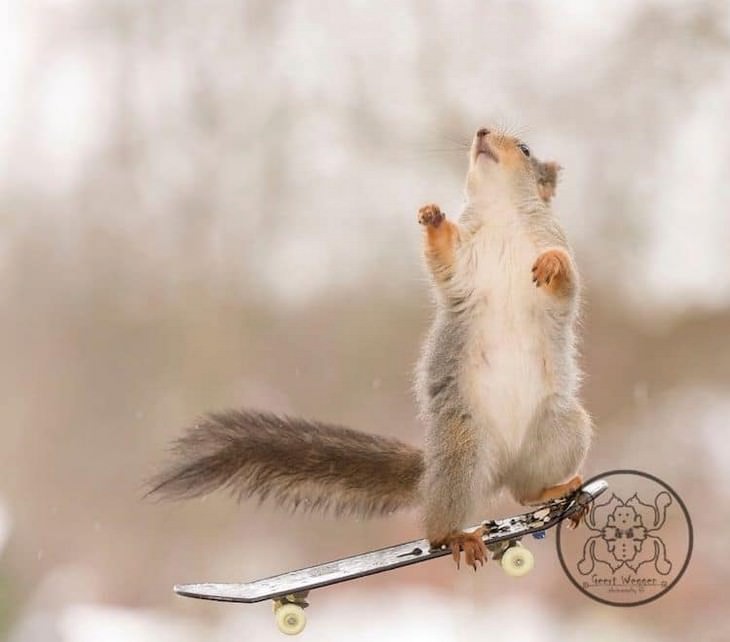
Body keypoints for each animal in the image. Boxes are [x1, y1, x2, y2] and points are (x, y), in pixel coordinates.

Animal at [145, 127, 588, 568]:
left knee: (524, 491)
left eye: (525, 149)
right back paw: (458, 536)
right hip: (463, 452)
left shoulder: (554, 248)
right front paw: (433, 217)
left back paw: (556, 491)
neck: (502, 216)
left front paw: (552, 264)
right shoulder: (463, 264)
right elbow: (445, 258)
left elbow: (567, 281)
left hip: (562, 431)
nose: (481, 132)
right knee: (441, 525)